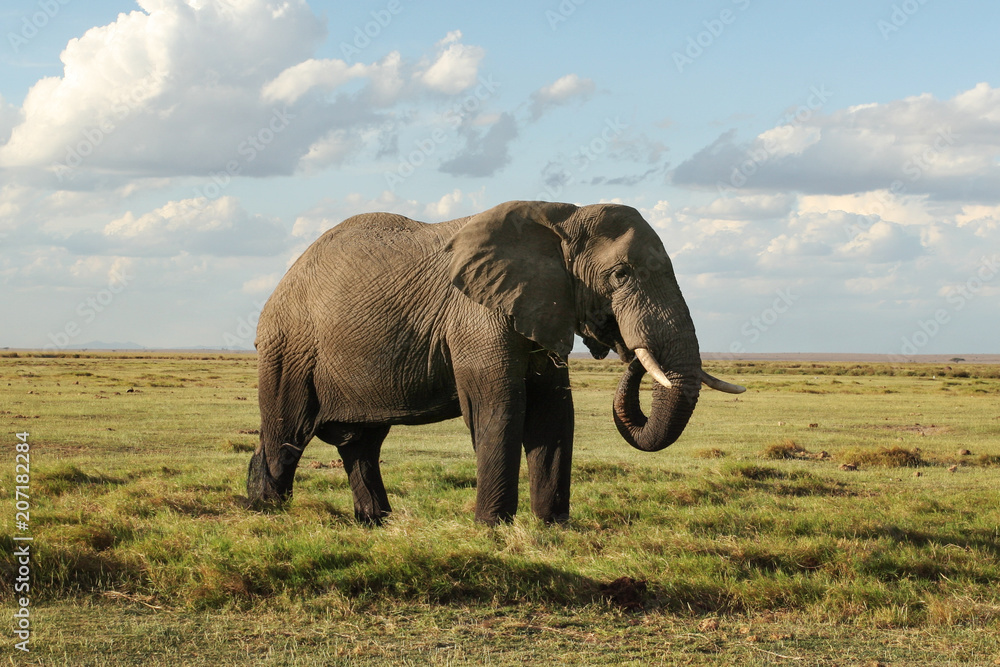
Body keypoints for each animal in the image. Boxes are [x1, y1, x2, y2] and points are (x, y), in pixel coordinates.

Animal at [247, 200, 744, 526]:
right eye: (620, 275)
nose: (622, 341)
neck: (561, 218)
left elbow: (554, 413)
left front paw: (551, 528)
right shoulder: (476, 313)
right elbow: (500, 409)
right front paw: (492, 528)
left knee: (360, 444)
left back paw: (375, 523)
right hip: (288, 348)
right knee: (288, 431)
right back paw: (268, 516)